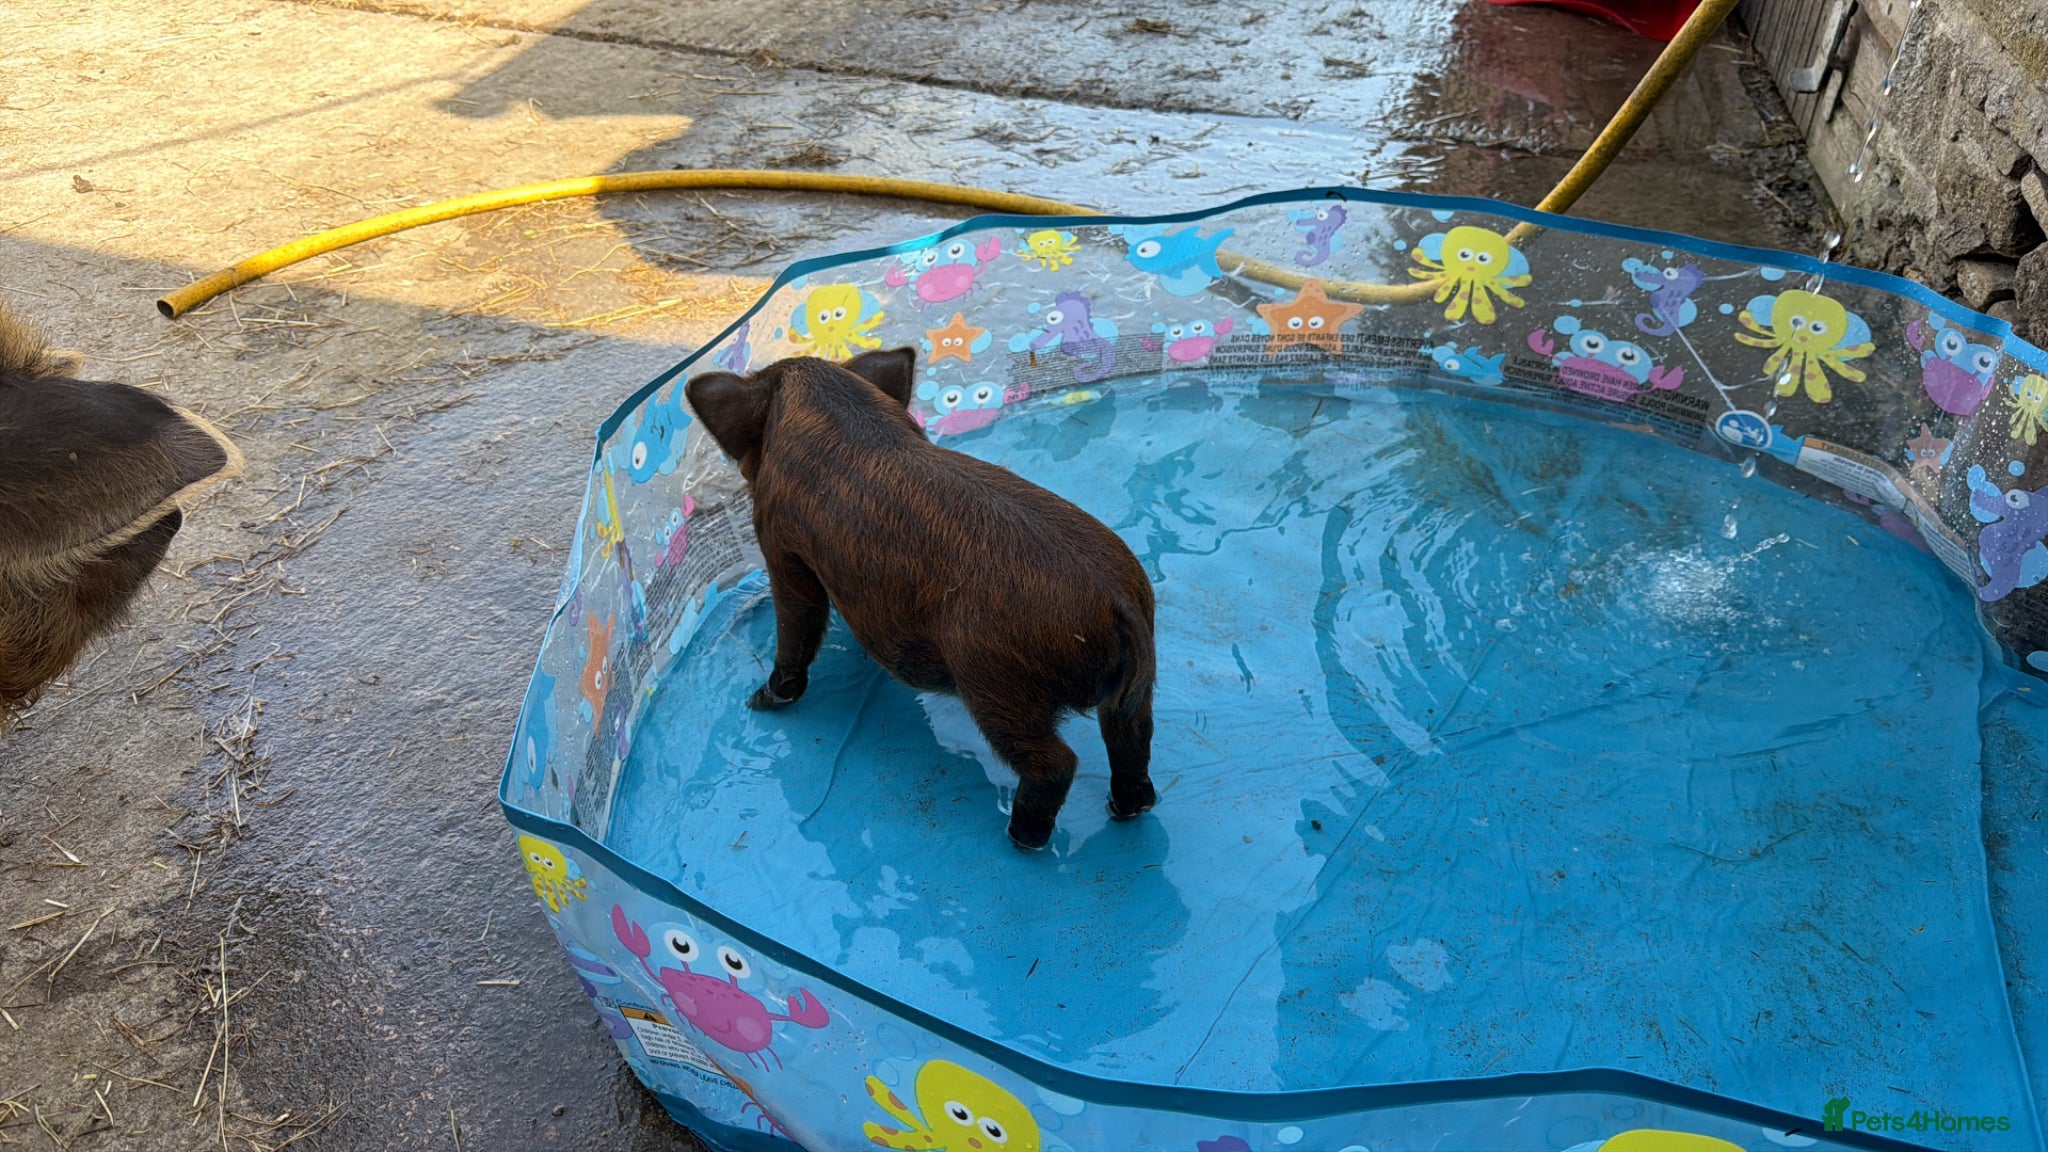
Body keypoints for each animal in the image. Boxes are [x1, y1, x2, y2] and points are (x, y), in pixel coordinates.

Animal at [685, 349, 1156, 850]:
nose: (755, 701)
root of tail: (1116, 603)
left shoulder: (783, 548)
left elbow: (797, 625)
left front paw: (759, 701)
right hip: (1125, 691)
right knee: (1133, 736)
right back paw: (1127, 810)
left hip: (997, 685)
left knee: (1056, 763)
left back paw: (1019, 838)